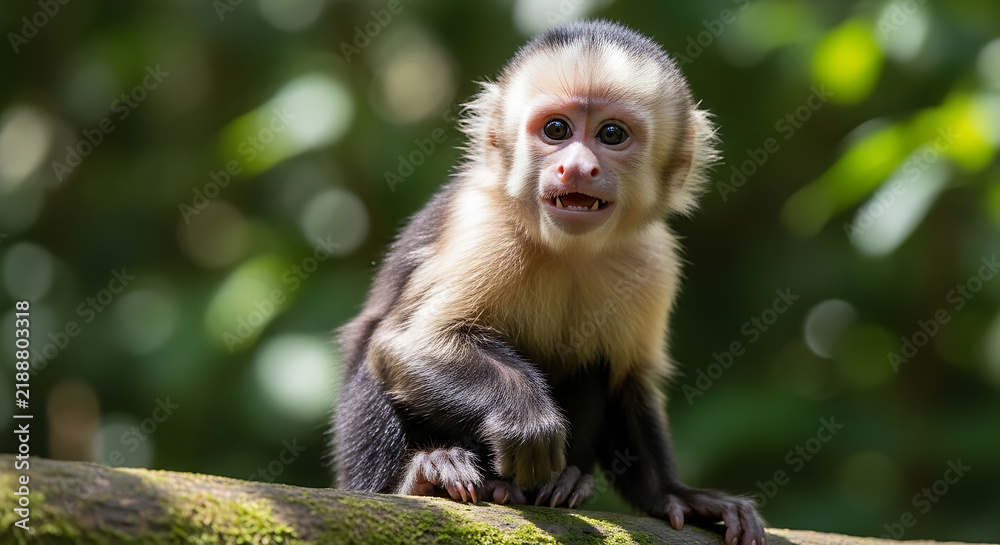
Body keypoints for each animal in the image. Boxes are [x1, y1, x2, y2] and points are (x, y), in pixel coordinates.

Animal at [330, 20, 766, 545]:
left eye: (611, 134)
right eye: (556, 130)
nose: (576, 167)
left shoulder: (653, 260)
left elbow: (628, 379)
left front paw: (674, 495)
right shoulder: (484, 223)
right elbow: (410, 342)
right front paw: (526, 417)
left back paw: (565, 482)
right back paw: (421, 477)